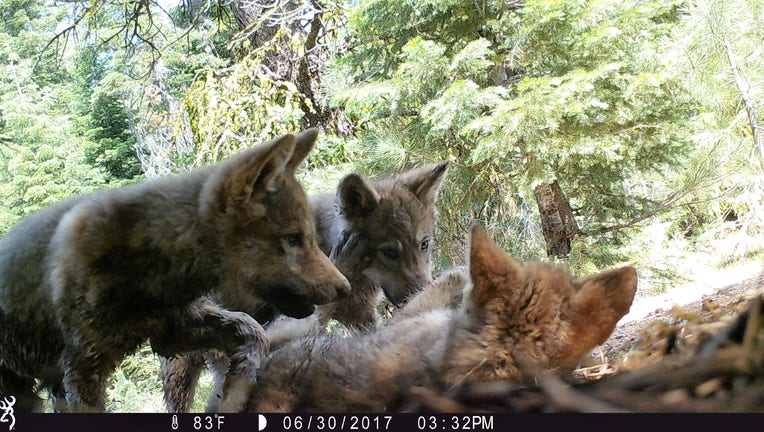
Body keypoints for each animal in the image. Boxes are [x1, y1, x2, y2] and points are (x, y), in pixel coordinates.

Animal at [0, 129, 350, 412]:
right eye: (293, 239)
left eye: (310, 238)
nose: (345, 289)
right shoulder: (81, 369)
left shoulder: (171, 332)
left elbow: (252, 332)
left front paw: (236, 389)